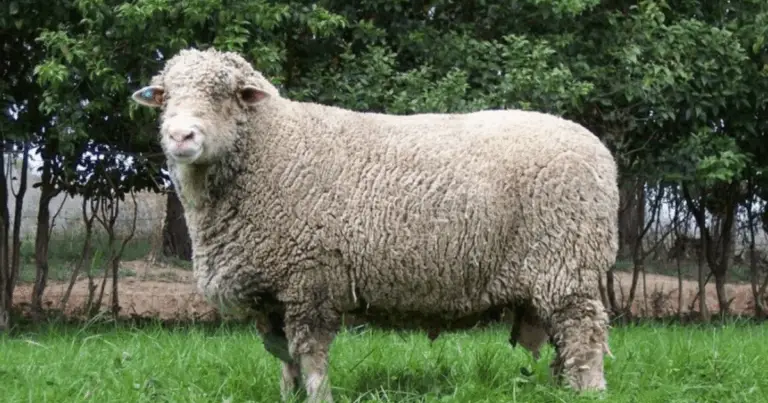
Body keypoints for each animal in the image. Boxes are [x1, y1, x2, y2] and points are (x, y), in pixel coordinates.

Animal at [130, 47, 620, 403]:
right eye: (164, 95)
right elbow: (283, 355)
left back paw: (589, 392)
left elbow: (309, 353)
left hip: (567, 262)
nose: (180, 136)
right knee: (564, 340)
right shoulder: (272, 289)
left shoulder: (310, 278)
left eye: (225, 94)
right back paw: (563, 387)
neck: (271, 148)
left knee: (584, 333)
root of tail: (597, 149)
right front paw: (288, 396)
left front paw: (319, 397)